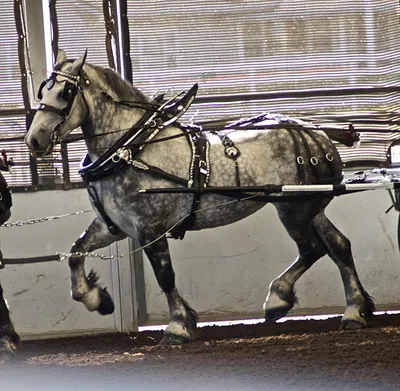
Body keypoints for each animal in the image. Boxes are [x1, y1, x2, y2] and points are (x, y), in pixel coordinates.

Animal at [25, 49, 376, 346]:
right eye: (43, 91)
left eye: (65, 93)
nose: (34, 140)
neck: (131, 149)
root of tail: (316, 132)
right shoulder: (114, 226)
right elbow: (76, 253)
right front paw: (97, 299)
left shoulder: (150, 228)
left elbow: (165, 276)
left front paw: (178, 326)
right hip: (310, 207)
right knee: (338, 246)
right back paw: (354, 311)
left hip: (292, 209)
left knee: (313, 249)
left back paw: (278, 299)